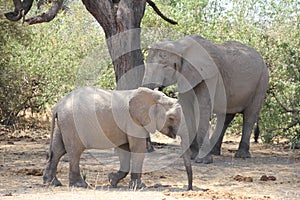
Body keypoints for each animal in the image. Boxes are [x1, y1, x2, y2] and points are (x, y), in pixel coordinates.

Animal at [42, 86, 192, 190]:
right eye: (171, 118)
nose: (188, 188)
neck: (153, 97)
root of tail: (57, 106)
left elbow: (124, 149)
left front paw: (112, 180)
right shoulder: (133, 121)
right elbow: (137, 148)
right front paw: (139, 187)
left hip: (64, 124)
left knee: (57, 150)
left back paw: (53, 183)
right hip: (72, 123)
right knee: (74, 151)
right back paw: (80, 185)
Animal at [143, 34, 270, 162]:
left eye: (164, 66)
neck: (180, 45)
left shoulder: (209, 75)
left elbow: (202, 108)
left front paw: (203, 161)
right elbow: (187, 108)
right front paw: (192, 156)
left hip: (262, 83)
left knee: (250, 116)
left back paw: (241, 155)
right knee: (225, 117)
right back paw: (214, 152)